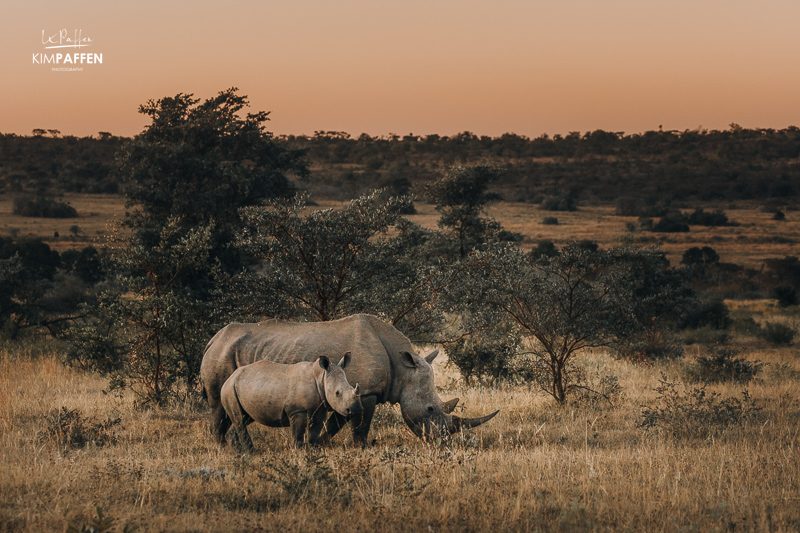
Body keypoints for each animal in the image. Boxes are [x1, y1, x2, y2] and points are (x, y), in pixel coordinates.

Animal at [217, 354, 360, 448]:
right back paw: (250, 451)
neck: (321, 377)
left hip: (241, 387)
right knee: (240, 420)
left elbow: (314, 433)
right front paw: (299, 452)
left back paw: (238, 452)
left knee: (244, 418)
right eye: (337, 393)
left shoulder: (321, 408)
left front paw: (312, 451)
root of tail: (230, 377)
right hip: (229, 389)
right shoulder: (297, 410)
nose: (354, 409)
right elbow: (298, 434)